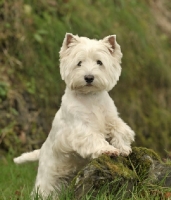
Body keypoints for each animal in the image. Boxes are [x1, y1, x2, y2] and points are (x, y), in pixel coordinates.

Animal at [14, 33, 135, 199]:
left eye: (99, 62)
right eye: (79, 63)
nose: (89, 77)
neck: (90, 98)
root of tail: (41, 151)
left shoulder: (111, 119)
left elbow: (121, 130)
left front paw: (123, 148)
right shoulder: (81, 128)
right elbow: (94, 138)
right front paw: (108, 150)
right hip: (48, 178)